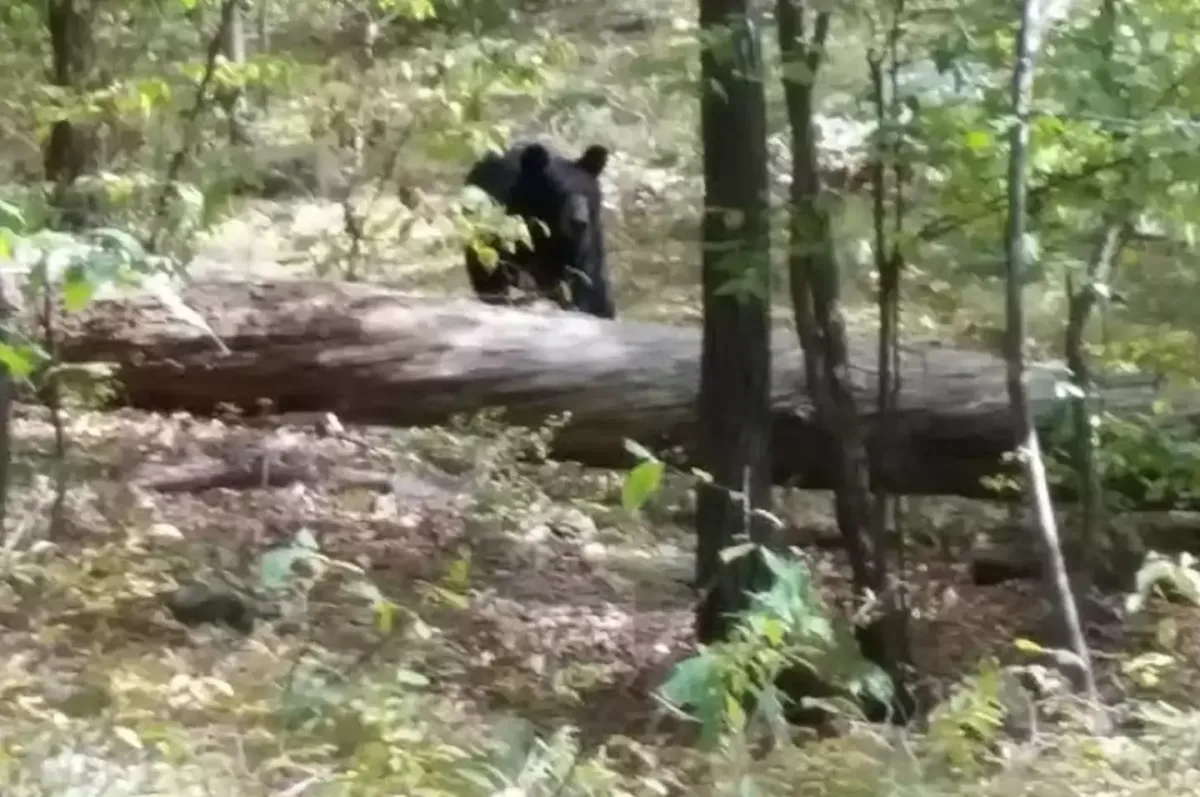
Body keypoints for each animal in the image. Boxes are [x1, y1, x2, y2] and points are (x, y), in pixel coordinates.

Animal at [461, 141, 615, 319]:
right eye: (559, 193)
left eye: (586, 193)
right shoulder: (506, 222)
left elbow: (587, 278)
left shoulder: (583, 243)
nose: (579, 221)